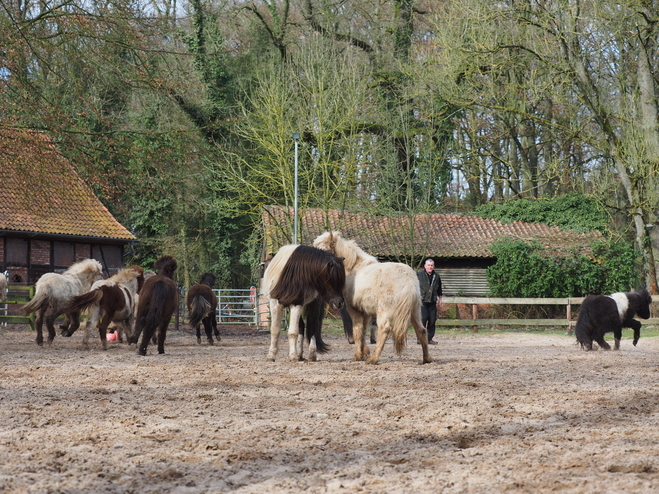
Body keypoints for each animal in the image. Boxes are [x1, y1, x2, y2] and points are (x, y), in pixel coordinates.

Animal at [314, 230, 434, 364]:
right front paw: (364, 353)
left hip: (384, 311)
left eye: (324, 250)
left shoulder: (353, 309)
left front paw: (358, 355)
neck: (353, 267)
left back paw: (373, 359)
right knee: (421, 330)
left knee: (385, 329)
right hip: (414, 311)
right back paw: (426, 358)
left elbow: (357, 330)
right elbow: (363, 330)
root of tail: (408, 280)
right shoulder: (365, 311)